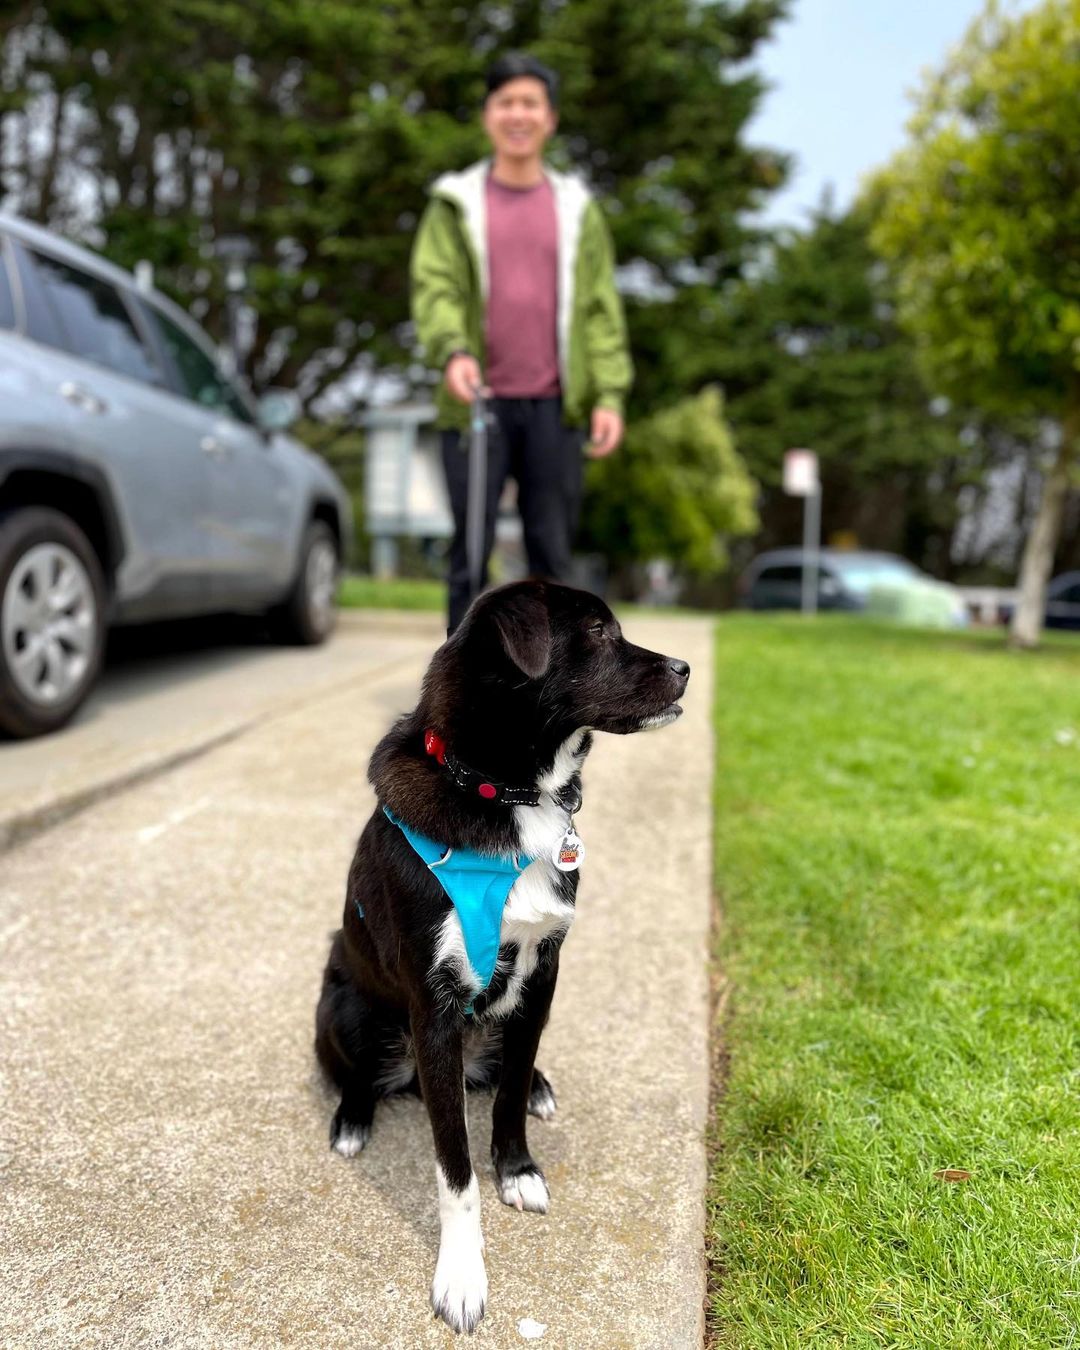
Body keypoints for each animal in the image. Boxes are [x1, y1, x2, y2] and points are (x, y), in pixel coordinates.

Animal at [315, 577, 688, 1328]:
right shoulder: (433, 1006)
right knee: (355, 1073)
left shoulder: (544, 971)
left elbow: (510, 1093)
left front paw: (516, 1169)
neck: (503, 790)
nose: (686, 668)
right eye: (597, 632)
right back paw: (353, 1119)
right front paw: (461, 1275)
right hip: (342, 1002)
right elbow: (454, 1170)